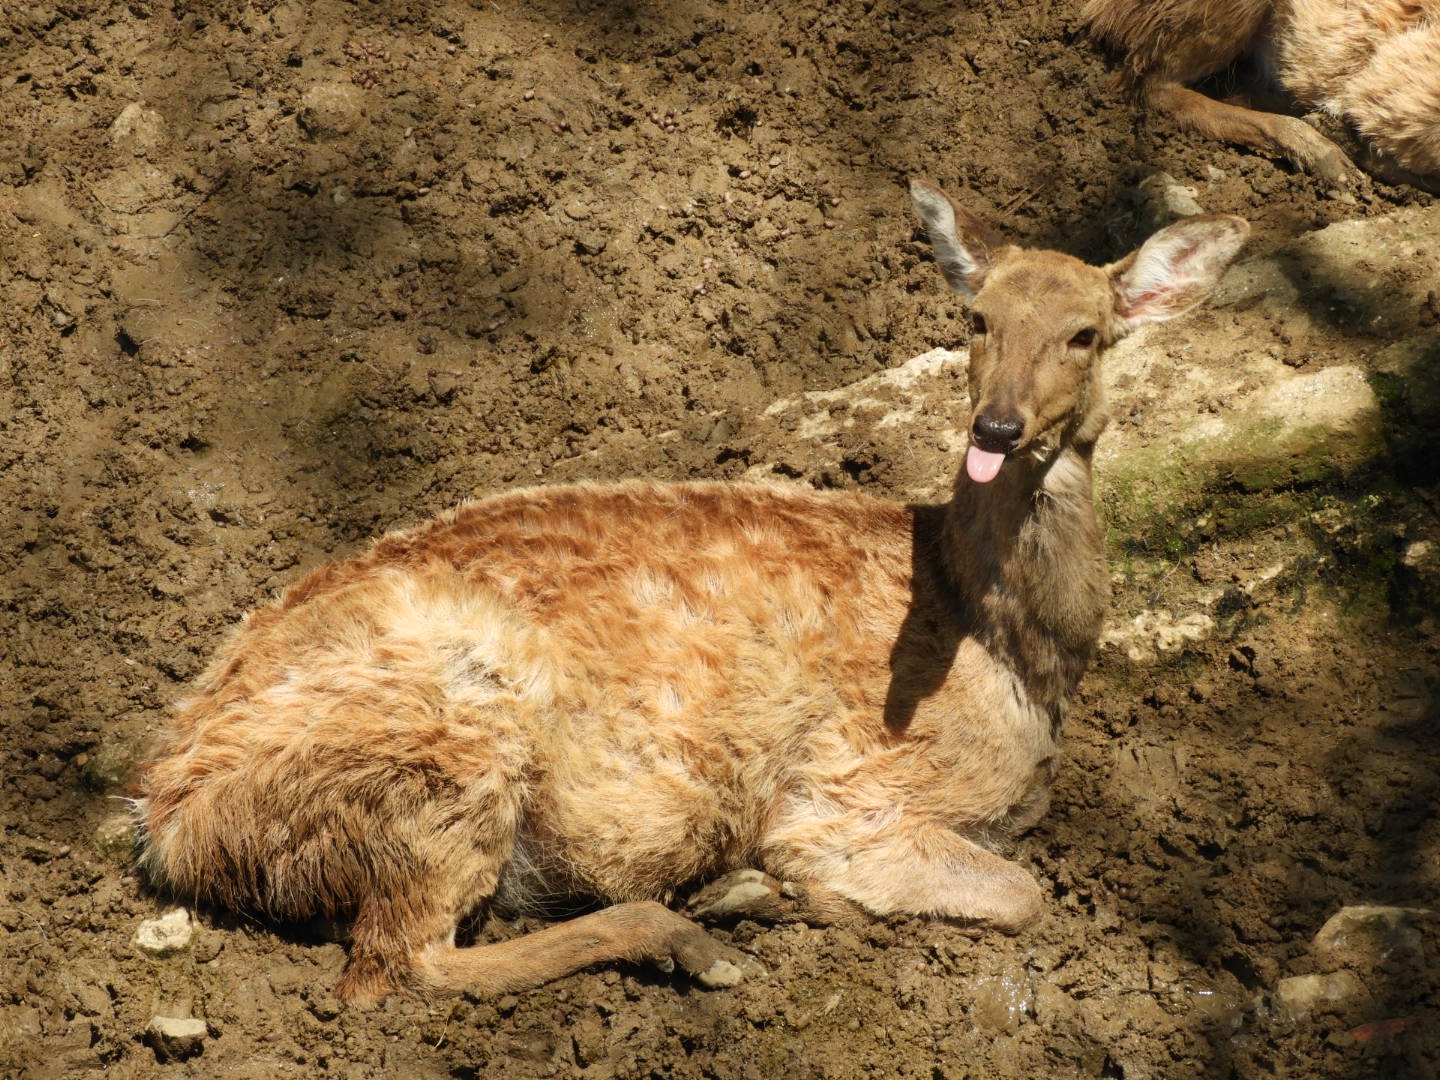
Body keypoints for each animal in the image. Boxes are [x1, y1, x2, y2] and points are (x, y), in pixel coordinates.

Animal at [132, 184, 1249, 1008]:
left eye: (1087, 333)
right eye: (976, 319)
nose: (999, 425)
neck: (1012, 652)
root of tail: (173, 823)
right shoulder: (849, 796)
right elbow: (1019, 897)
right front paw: (770, 893)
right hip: (445, 755)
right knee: (399, 967)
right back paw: (697, 938)